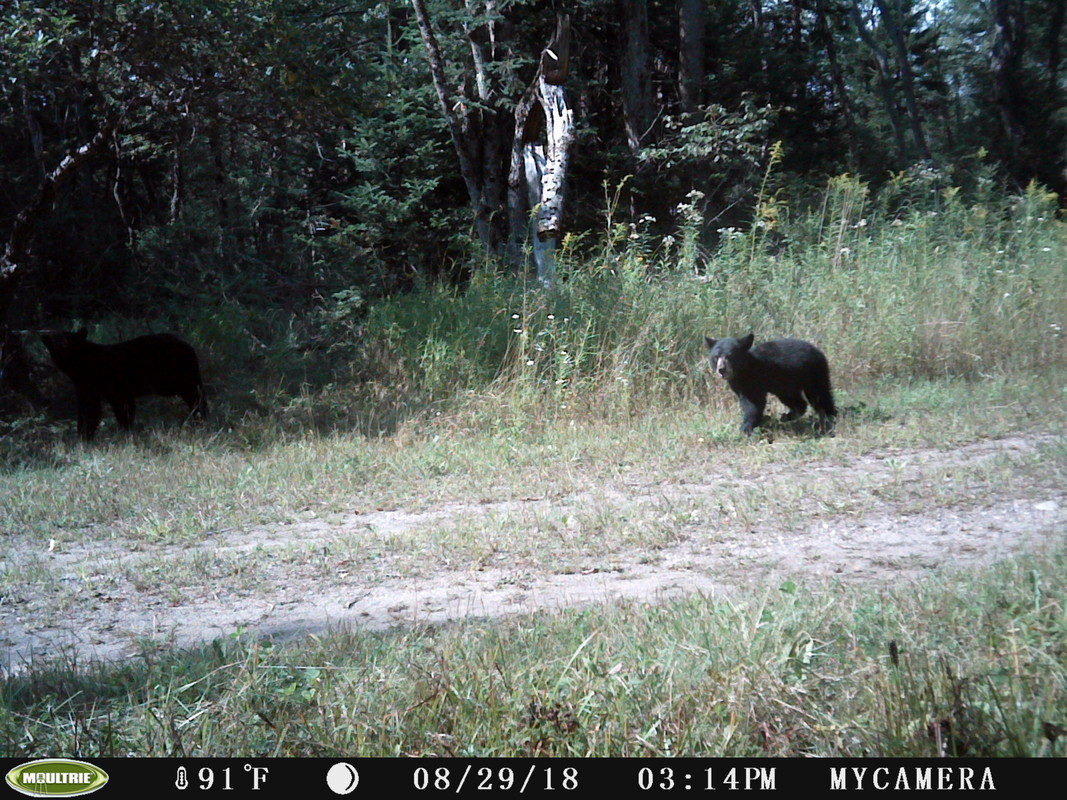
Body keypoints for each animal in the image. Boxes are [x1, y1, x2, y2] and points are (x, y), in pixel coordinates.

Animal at [41, 328, 207, 442]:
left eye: (70, 341)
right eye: (56, 342)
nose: (62, 345)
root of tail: (189, 345)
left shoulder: (117, 388)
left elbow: (122, 410)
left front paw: (124, 433)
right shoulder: (85, 388)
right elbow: (88, 411)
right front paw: (84, 436)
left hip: (182, 378)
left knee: (197, 396)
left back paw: (201, 419)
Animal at [704, 332, 836, 436]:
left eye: (730, 356)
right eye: (716, 356)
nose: (721, 369)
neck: (742, 371)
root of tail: (818, 351)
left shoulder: (754, 380)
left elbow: (753, 403)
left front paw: (746, 428)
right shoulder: (738, 385)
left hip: (813, 373)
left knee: (820, 395)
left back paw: (830, 418)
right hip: (787, 383)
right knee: (797, 400)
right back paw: (788, 416)